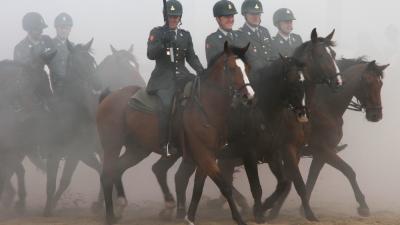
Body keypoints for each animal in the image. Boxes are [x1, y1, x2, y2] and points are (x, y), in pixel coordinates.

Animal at [96, 42, 253, 225]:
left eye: (247, 68)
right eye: (233, 68)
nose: (249, 96)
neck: (206, 105)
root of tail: (109, 96)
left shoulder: (209, 155)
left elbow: (198, 188)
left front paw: (189, 218)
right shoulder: (203, 154)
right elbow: (224, 186)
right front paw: (239, 218)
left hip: (137, 150)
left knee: (118, 169)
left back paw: (123, 205)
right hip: (112, 146)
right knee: (106, 174)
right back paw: (110, 216)